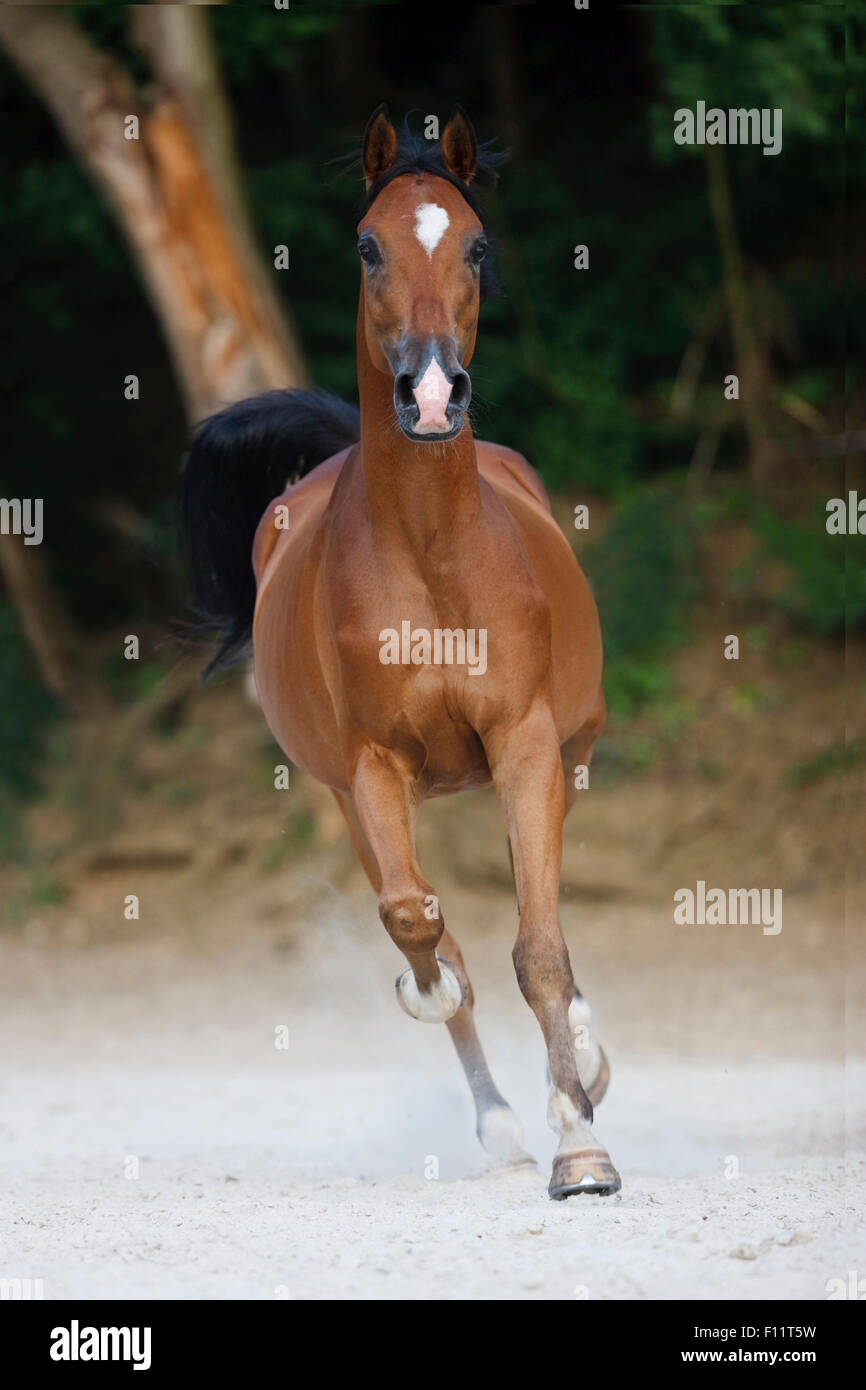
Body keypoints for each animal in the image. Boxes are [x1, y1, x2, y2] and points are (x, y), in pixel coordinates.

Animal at [183, 108, 619, 1200]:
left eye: (477, 246)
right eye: (367, 245)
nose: (428, 392)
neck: (429, 556)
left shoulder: (525, 746)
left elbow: (539, 944)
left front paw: (582, 1145)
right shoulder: (372, 771)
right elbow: (419, 925)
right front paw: (469, 1035)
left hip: (565, 755)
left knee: (540, 912)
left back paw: (583, 1066)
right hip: (347, 796)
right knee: (428, 916)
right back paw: (503, 1120)